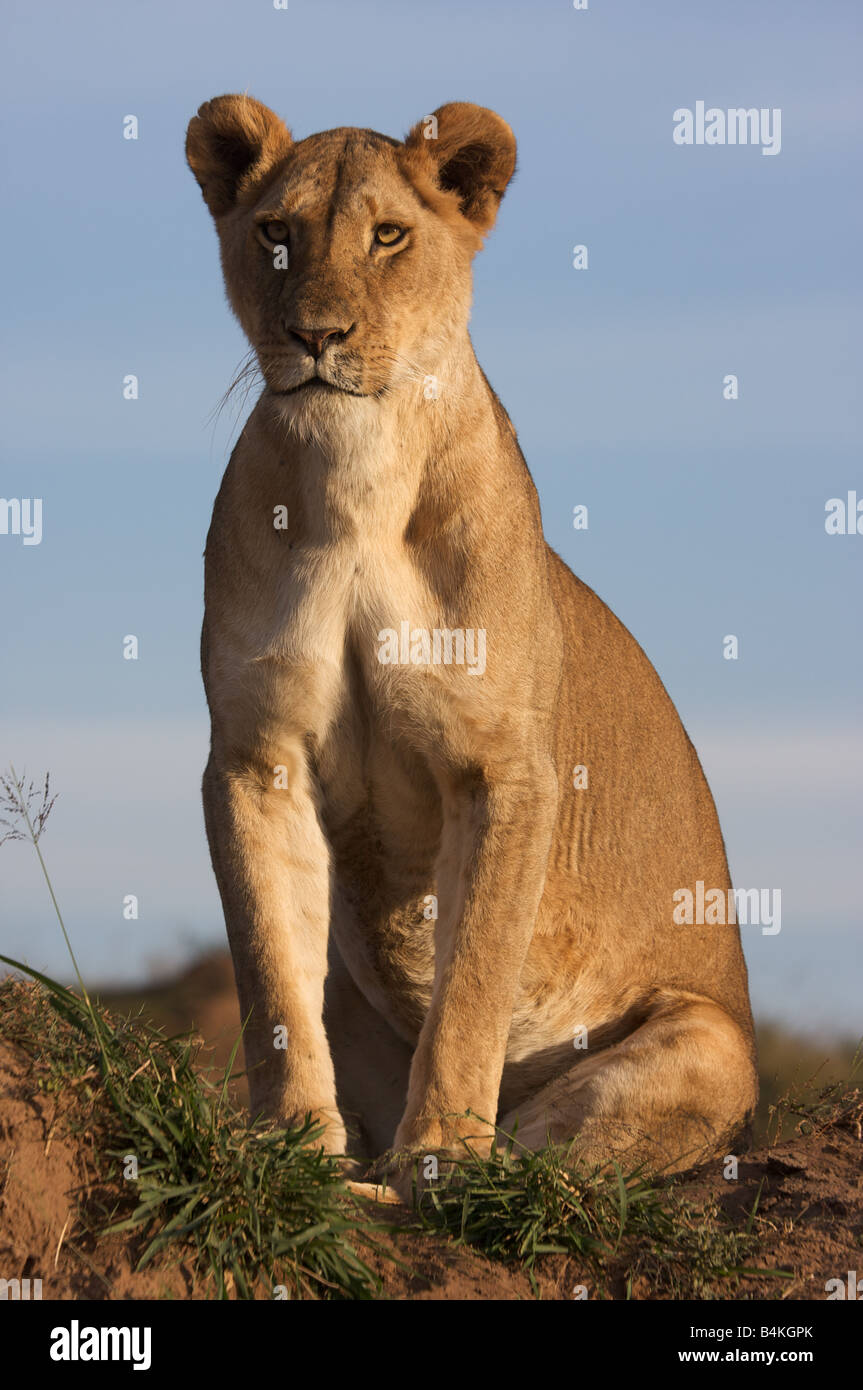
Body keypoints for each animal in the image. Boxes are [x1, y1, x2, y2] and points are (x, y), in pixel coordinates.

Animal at [186, 95, 757, 1194]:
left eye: (387, 236)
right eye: (275, 234)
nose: (313, 335)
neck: (355, 474)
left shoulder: (504, 771)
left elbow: (469, 987)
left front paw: (440, 1152)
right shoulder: (255, 757)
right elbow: (270, 973)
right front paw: (289, 1150)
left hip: (706, 1043)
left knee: (550, 1169)